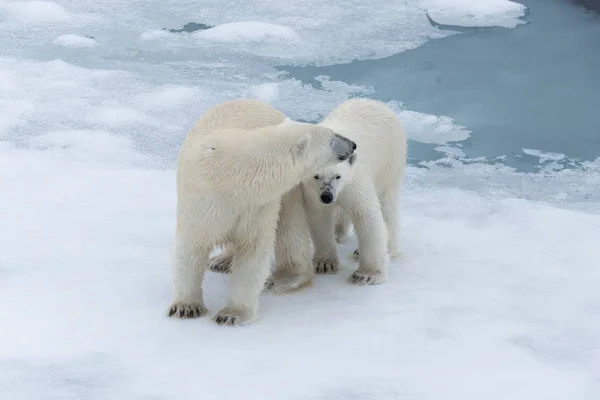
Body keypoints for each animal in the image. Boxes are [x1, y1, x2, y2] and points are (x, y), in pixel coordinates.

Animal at [169, 99, 356, 324]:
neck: (234, 175)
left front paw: (232, 314)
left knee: (289, 226)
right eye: (331, 137)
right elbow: (191, 246)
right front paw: (186, 307)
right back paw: (221, 260)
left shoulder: (259, 204)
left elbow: (252, 249)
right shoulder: (204, 199)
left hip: (288, 195)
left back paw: (286, 277)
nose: (353, 144)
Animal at [302, 97, 406, 284]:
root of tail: (376, 102)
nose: (327, 196)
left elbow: (366, 215)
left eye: (338, 176)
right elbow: (319, 218)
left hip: (390, 160)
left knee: (387, 204)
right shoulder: (311, 192)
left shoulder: (355, 182)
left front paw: (366, 274)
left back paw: (389, 247)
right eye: (316, 176)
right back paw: (338, 232)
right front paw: (325, 264)